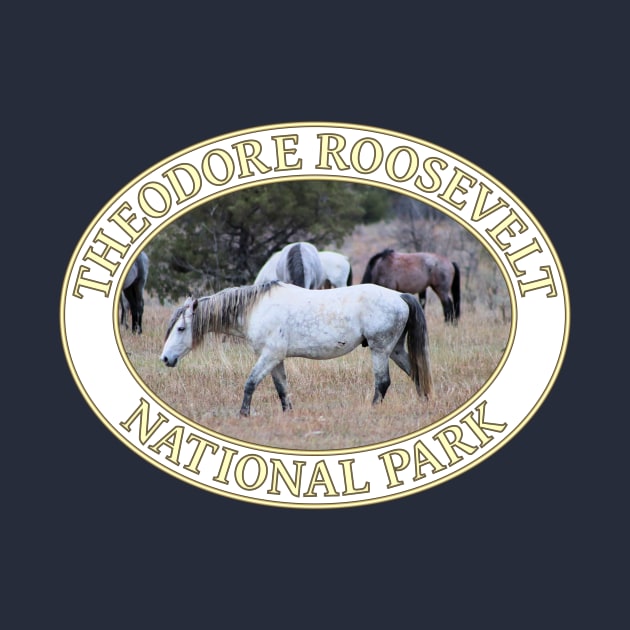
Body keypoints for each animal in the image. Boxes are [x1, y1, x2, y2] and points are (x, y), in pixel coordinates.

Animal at [160, 284, 432, 418]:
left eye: (181, 328)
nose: (165, 358)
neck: (255, 308)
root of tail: (400, 296)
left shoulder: (269, 356)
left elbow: (250, 384)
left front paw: (243, 414)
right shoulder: (276, 359)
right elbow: (282, 389)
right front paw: (287, 414)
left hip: (380, 349)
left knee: (383, 383)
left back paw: (372, 410)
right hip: (395, 350)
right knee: (416, 374)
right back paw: (425, 403)